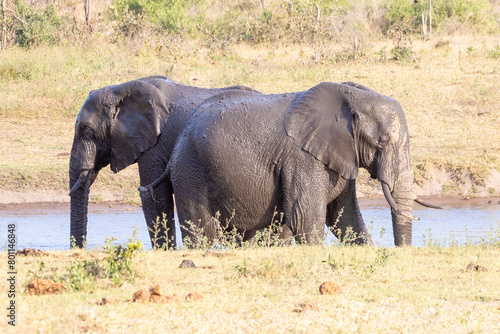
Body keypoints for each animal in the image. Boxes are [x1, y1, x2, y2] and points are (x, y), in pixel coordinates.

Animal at [150, 82, 436, 247]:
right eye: (382, 141)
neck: (355, 97)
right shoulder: (302, 158)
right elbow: (305, 218)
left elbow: (344, 217)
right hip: (191, 172)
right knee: (201, 232)